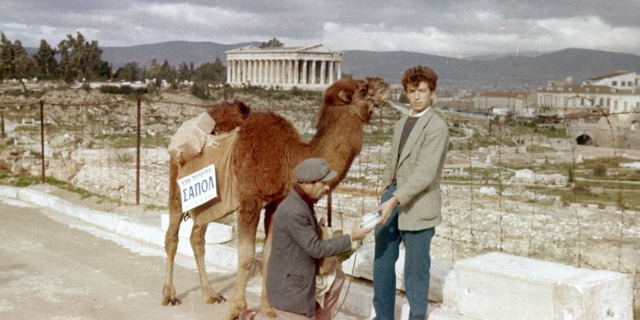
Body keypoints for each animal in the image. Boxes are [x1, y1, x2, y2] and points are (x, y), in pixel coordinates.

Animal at [160, 76, 390, 318]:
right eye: (363, 88)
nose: (384, 84)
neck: (289, 158)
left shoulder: (275, 204)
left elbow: (270, 254)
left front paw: (269, 309)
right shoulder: (250, 201)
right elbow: (247, 256)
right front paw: (237, 309)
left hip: (210, 201)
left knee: (197, 237)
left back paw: (210, 294)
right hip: (177, 185)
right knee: (172, 235)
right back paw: (170, 296)